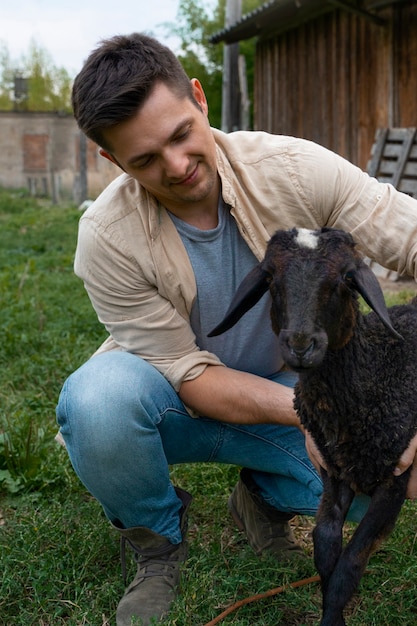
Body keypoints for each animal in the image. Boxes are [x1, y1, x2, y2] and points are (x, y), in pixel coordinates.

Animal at [210, 227, 416, 620]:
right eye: (270, 279)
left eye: (346, 278)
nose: (302, 345)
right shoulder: (334, 470)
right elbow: (324, 548)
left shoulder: (394, 477)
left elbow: (349, 565)